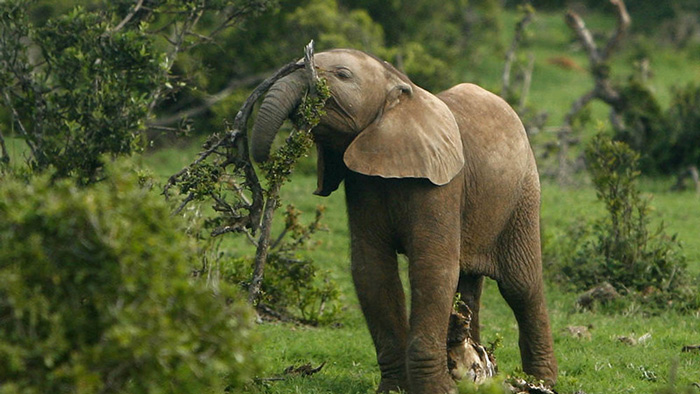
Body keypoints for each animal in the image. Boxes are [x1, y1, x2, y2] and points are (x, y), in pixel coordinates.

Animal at [252, 49, 556, 394]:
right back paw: (480, 370)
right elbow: (372, 269)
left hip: (524, 195)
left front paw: (439, 389)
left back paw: (538, 381)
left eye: (343, 75)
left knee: (521, 285)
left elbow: (432, 268)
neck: (399, 88)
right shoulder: (362, 182)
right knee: (468, 286)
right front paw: (396, 388)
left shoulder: (442, 183)